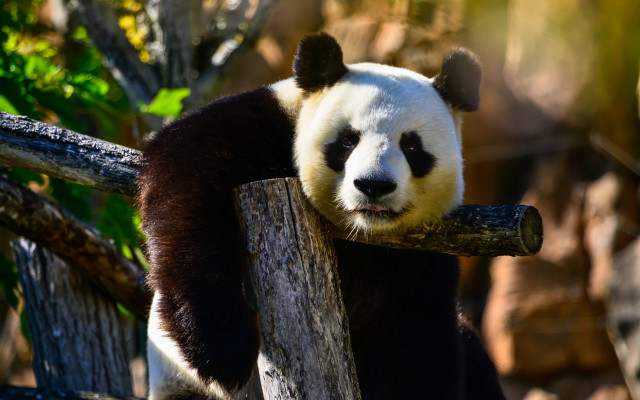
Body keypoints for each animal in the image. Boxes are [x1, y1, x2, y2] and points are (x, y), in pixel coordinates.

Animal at [139, 33, 505, 400]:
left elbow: (418, 345)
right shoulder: (257, 128)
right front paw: (226, 352)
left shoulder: (422, 264)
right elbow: (186, 188)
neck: (361, 235)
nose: (373, 185)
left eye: (412, 146)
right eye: (347, 141)